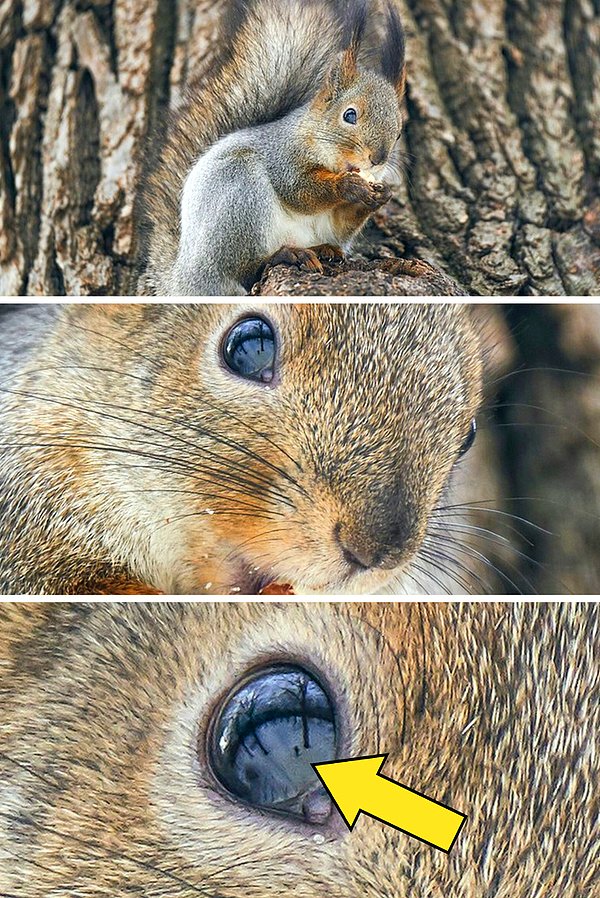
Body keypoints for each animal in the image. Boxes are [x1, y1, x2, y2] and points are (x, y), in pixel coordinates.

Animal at [138, 0, 406, 296]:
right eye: (349, 115)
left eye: (399, 132)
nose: (378, 158)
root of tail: (185, 279)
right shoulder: (282, 157)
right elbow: (299, 190)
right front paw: (347, 186)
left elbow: (343, 220)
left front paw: (382, 195)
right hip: (239, 195)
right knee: (246, 270)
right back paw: (286, 255)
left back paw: (323, 250)